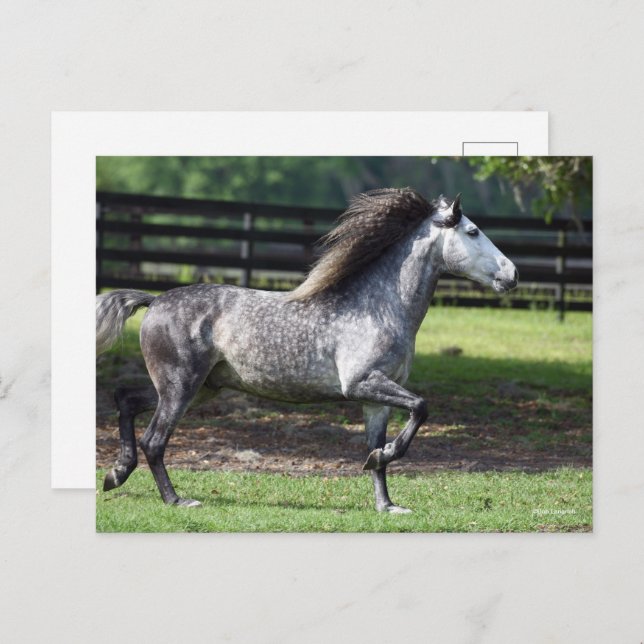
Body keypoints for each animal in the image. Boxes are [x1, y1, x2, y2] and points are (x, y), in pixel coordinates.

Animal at [96, 189, 518, 513]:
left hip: (199, 389)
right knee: (155, 440)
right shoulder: (362, 384)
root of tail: (154, 301)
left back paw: (115, 474)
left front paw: (387, 504)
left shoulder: (376, 400)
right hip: (182, 386)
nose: (512, 274)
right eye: (473, 231)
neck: (380, 306)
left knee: (127, 399)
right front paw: (382, 462)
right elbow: (421, 408)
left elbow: (382, 445)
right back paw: (176, 500)